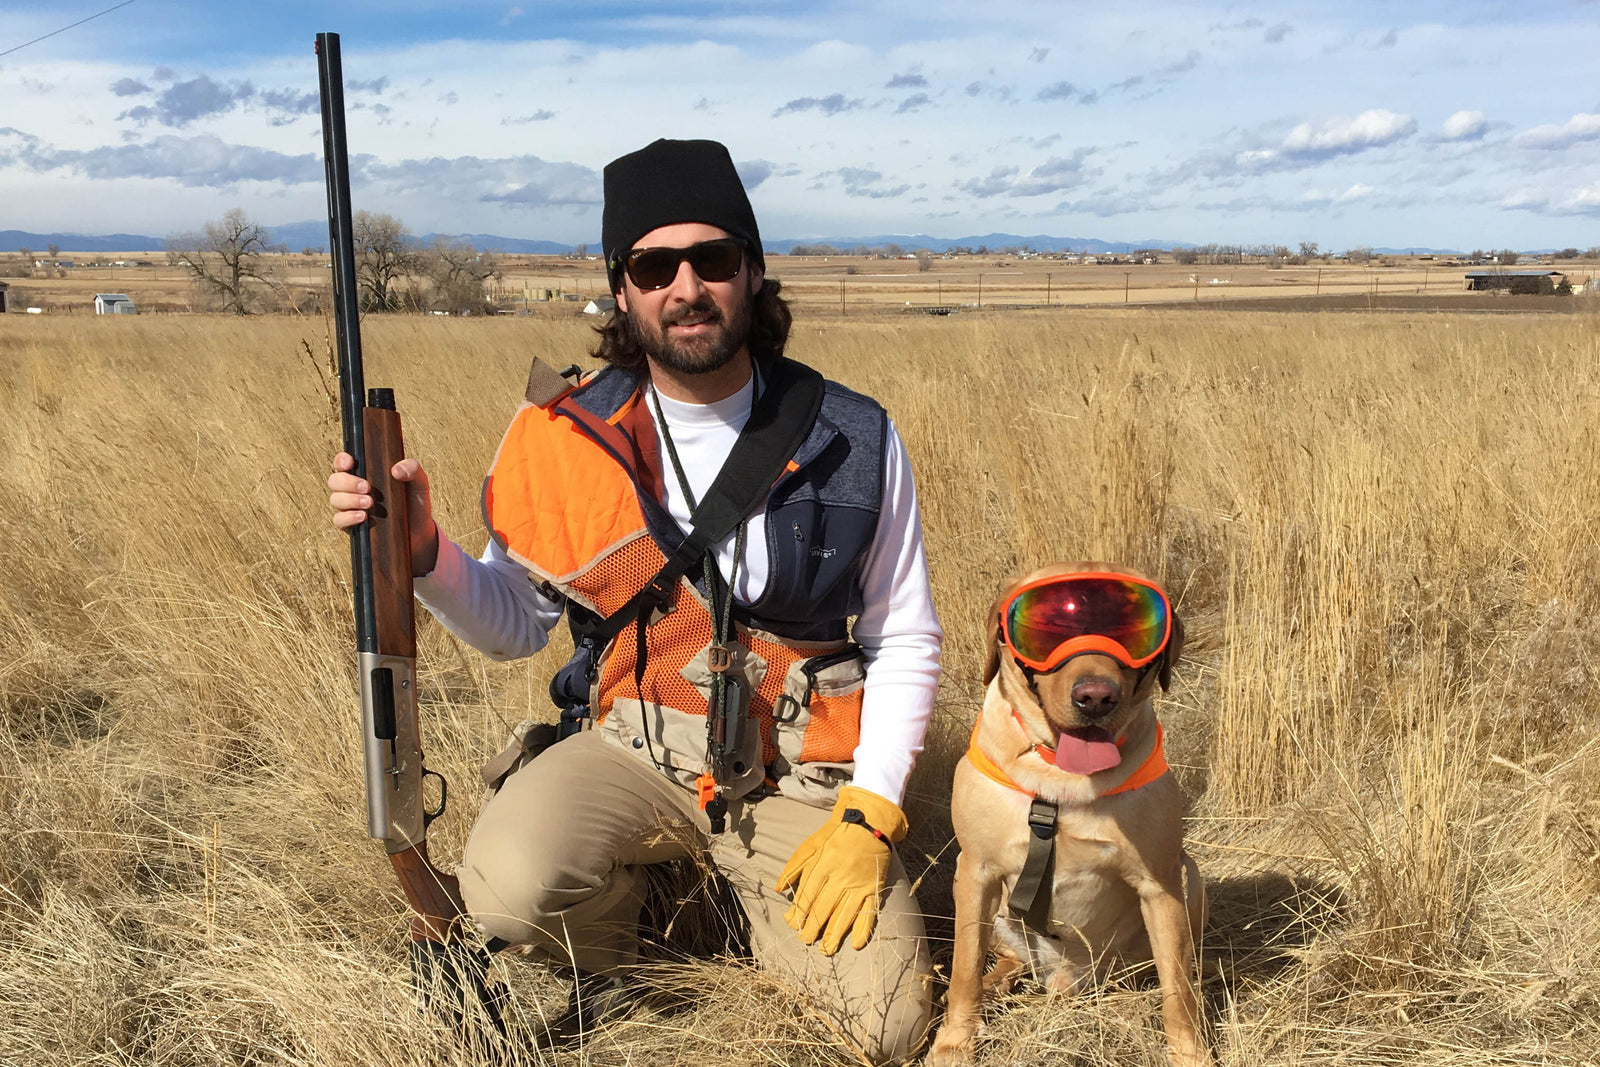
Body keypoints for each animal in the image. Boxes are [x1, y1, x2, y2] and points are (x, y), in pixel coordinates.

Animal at [934, 563, 1203, 1067]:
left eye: (1134, 630)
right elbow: (963, 967)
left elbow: (1178, 989)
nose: (1095, 697)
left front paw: (1190, 1053)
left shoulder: (1160, 884)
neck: (1060, 777)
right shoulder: (975, 870)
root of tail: (1064, 979)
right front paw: (954, 1041)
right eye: (1046, 628)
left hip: (1188, 881)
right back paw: (993, 983)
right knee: (1002, 959)